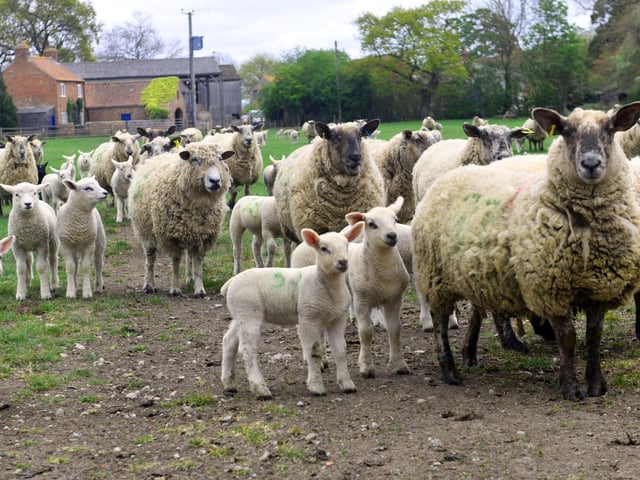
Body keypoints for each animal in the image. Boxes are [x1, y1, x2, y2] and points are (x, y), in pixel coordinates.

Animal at [128, 142, 235, 297]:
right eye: (194, 160)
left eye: (220, 159)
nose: (215, 181)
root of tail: (160, 157)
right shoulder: (171, 237)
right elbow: (175, 262)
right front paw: (175, 288)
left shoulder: (202, 235)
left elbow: (198, 262)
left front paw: (199, 289)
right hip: (145, 230)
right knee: (150, 257)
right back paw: (149, 284)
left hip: (190, 232)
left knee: (189, 255)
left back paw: (189, 278)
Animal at [220, 221, 364, 399]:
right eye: (324, 248)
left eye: (346, 245)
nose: (343, 262)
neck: (324, 285)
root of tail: (230, 283)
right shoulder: (308, 318)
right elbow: (313, 352)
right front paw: (316, 386)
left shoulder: (338, 319)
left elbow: (341, 350)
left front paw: (347, 384)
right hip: (248, 312)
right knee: (248, 349)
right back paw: (260, 389)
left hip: (239, 314)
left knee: (229, 341)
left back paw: (229, 384)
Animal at [412, 102, 640, 400]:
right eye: (566, 131)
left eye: (610, 130)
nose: (591, 164)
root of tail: (447, 178)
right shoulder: (550, 288)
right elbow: (568, 338)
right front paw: (570, 387)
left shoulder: (599, 288)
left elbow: (594, 336)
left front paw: (596, 384)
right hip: (434, 275)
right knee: (439, 322)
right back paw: (449, 370)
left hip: (478, 274)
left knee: (476, 311)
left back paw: (469, 354)